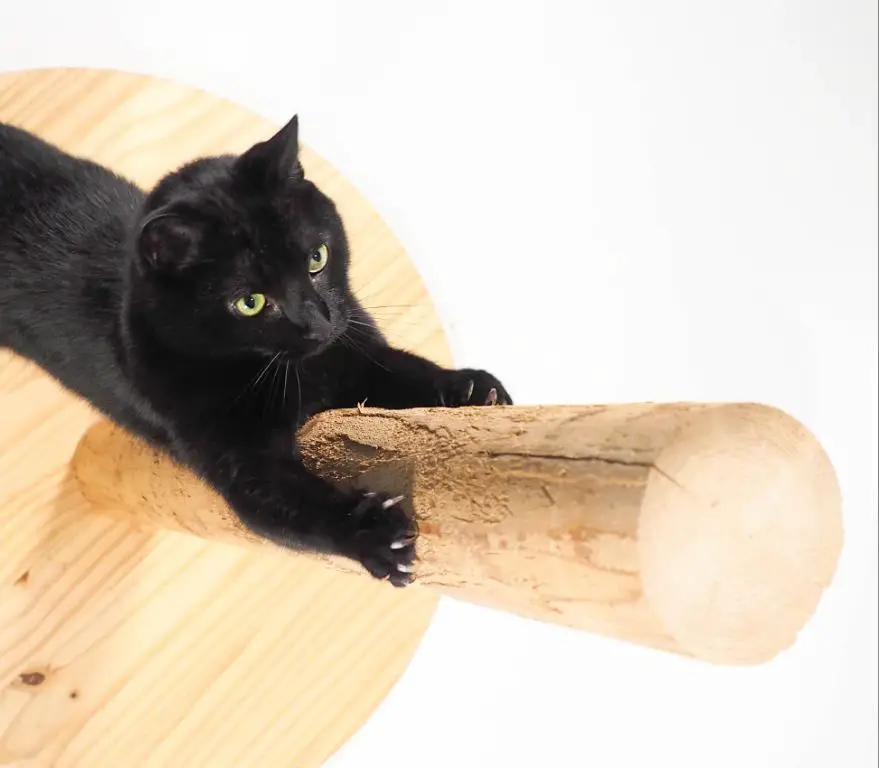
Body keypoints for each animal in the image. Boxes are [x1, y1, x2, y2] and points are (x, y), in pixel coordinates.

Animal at [1, 117, 508, 588]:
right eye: (251, 302)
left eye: (317, 258)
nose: (318, 322)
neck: (297, 373)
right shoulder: (238, 460)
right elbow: (295, 506)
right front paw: (378, 538)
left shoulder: (357, 357)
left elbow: (406, 373)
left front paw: (470, 389)